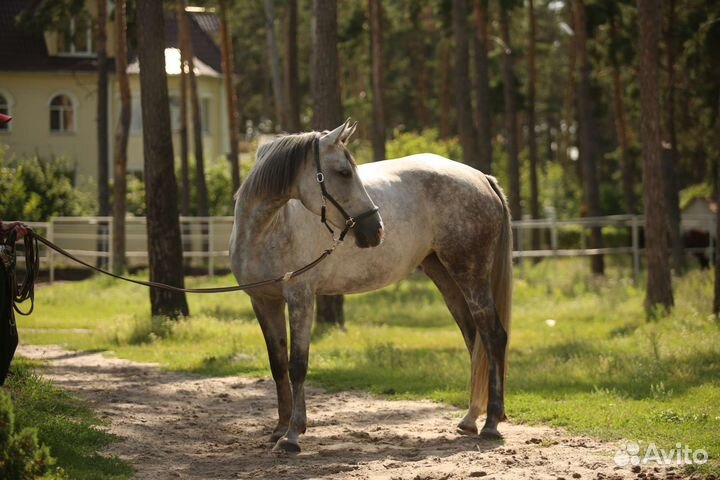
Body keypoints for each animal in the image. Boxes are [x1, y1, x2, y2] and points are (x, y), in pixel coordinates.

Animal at [229, 120, 512, 454]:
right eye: (343, 172)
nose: (375, 229)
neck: (268, 228)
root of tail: (482, 178)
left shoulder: (301, 298)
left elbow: (297, 364)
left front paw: (293, 435)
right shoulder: (263, 301)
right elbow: (277, 365)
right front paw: (278, 430)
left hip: (470, 274)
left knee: (493, 337)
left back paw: (491, 423)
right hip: (446, 277)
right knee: (474, 339)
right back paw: (470, 419)